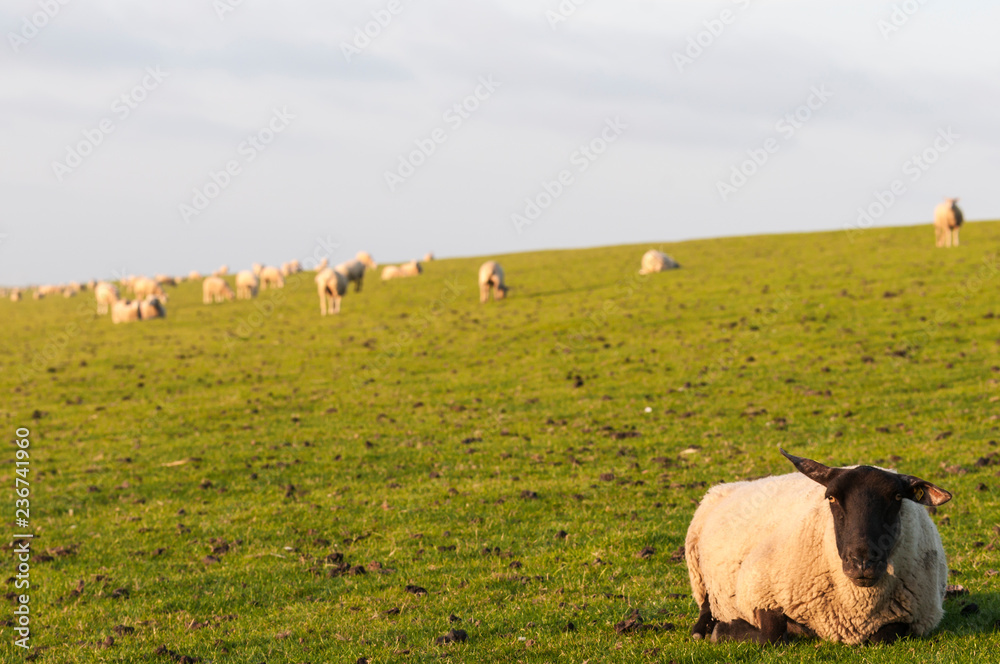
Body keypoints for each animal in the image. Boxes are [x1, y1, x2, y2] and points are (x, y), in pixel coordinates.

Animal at [688, 448, 952, 644]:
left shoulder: (915, 617)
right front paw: (724, 631)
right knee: (705, 605)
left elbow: (883, 637)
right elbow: (771, 635)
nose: (862, 564)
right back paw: (702, 630)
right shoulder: (759, 590)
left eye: (897, 498)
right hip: (698, 572)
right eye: (831, 498)